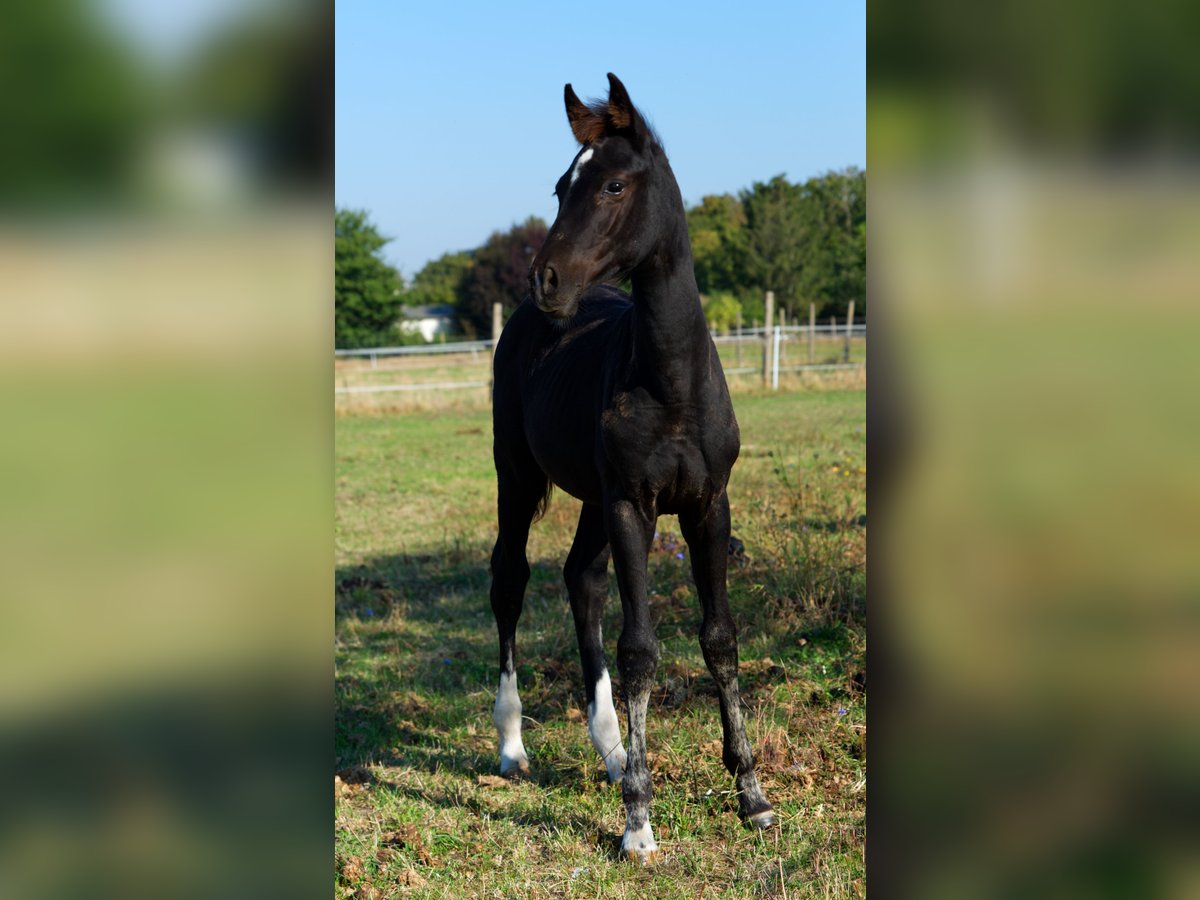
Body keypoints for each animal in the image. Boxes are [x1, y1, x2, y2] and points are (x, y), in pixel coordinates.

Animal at [489, 74, 777, 864]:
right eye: (562, 187)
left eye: (614, 184)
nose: (547, 279)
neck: (670, 381)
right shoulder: (632, 505)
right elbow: (642, 647)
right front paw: (639, 821)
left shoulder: (709, 505)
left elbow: (719, 638)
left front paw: (752, 794)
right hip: (519, 479)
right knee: (510, 581)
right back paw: (514, 745)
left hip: (592, 498)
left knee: (580, 581)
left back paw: (615, 752)